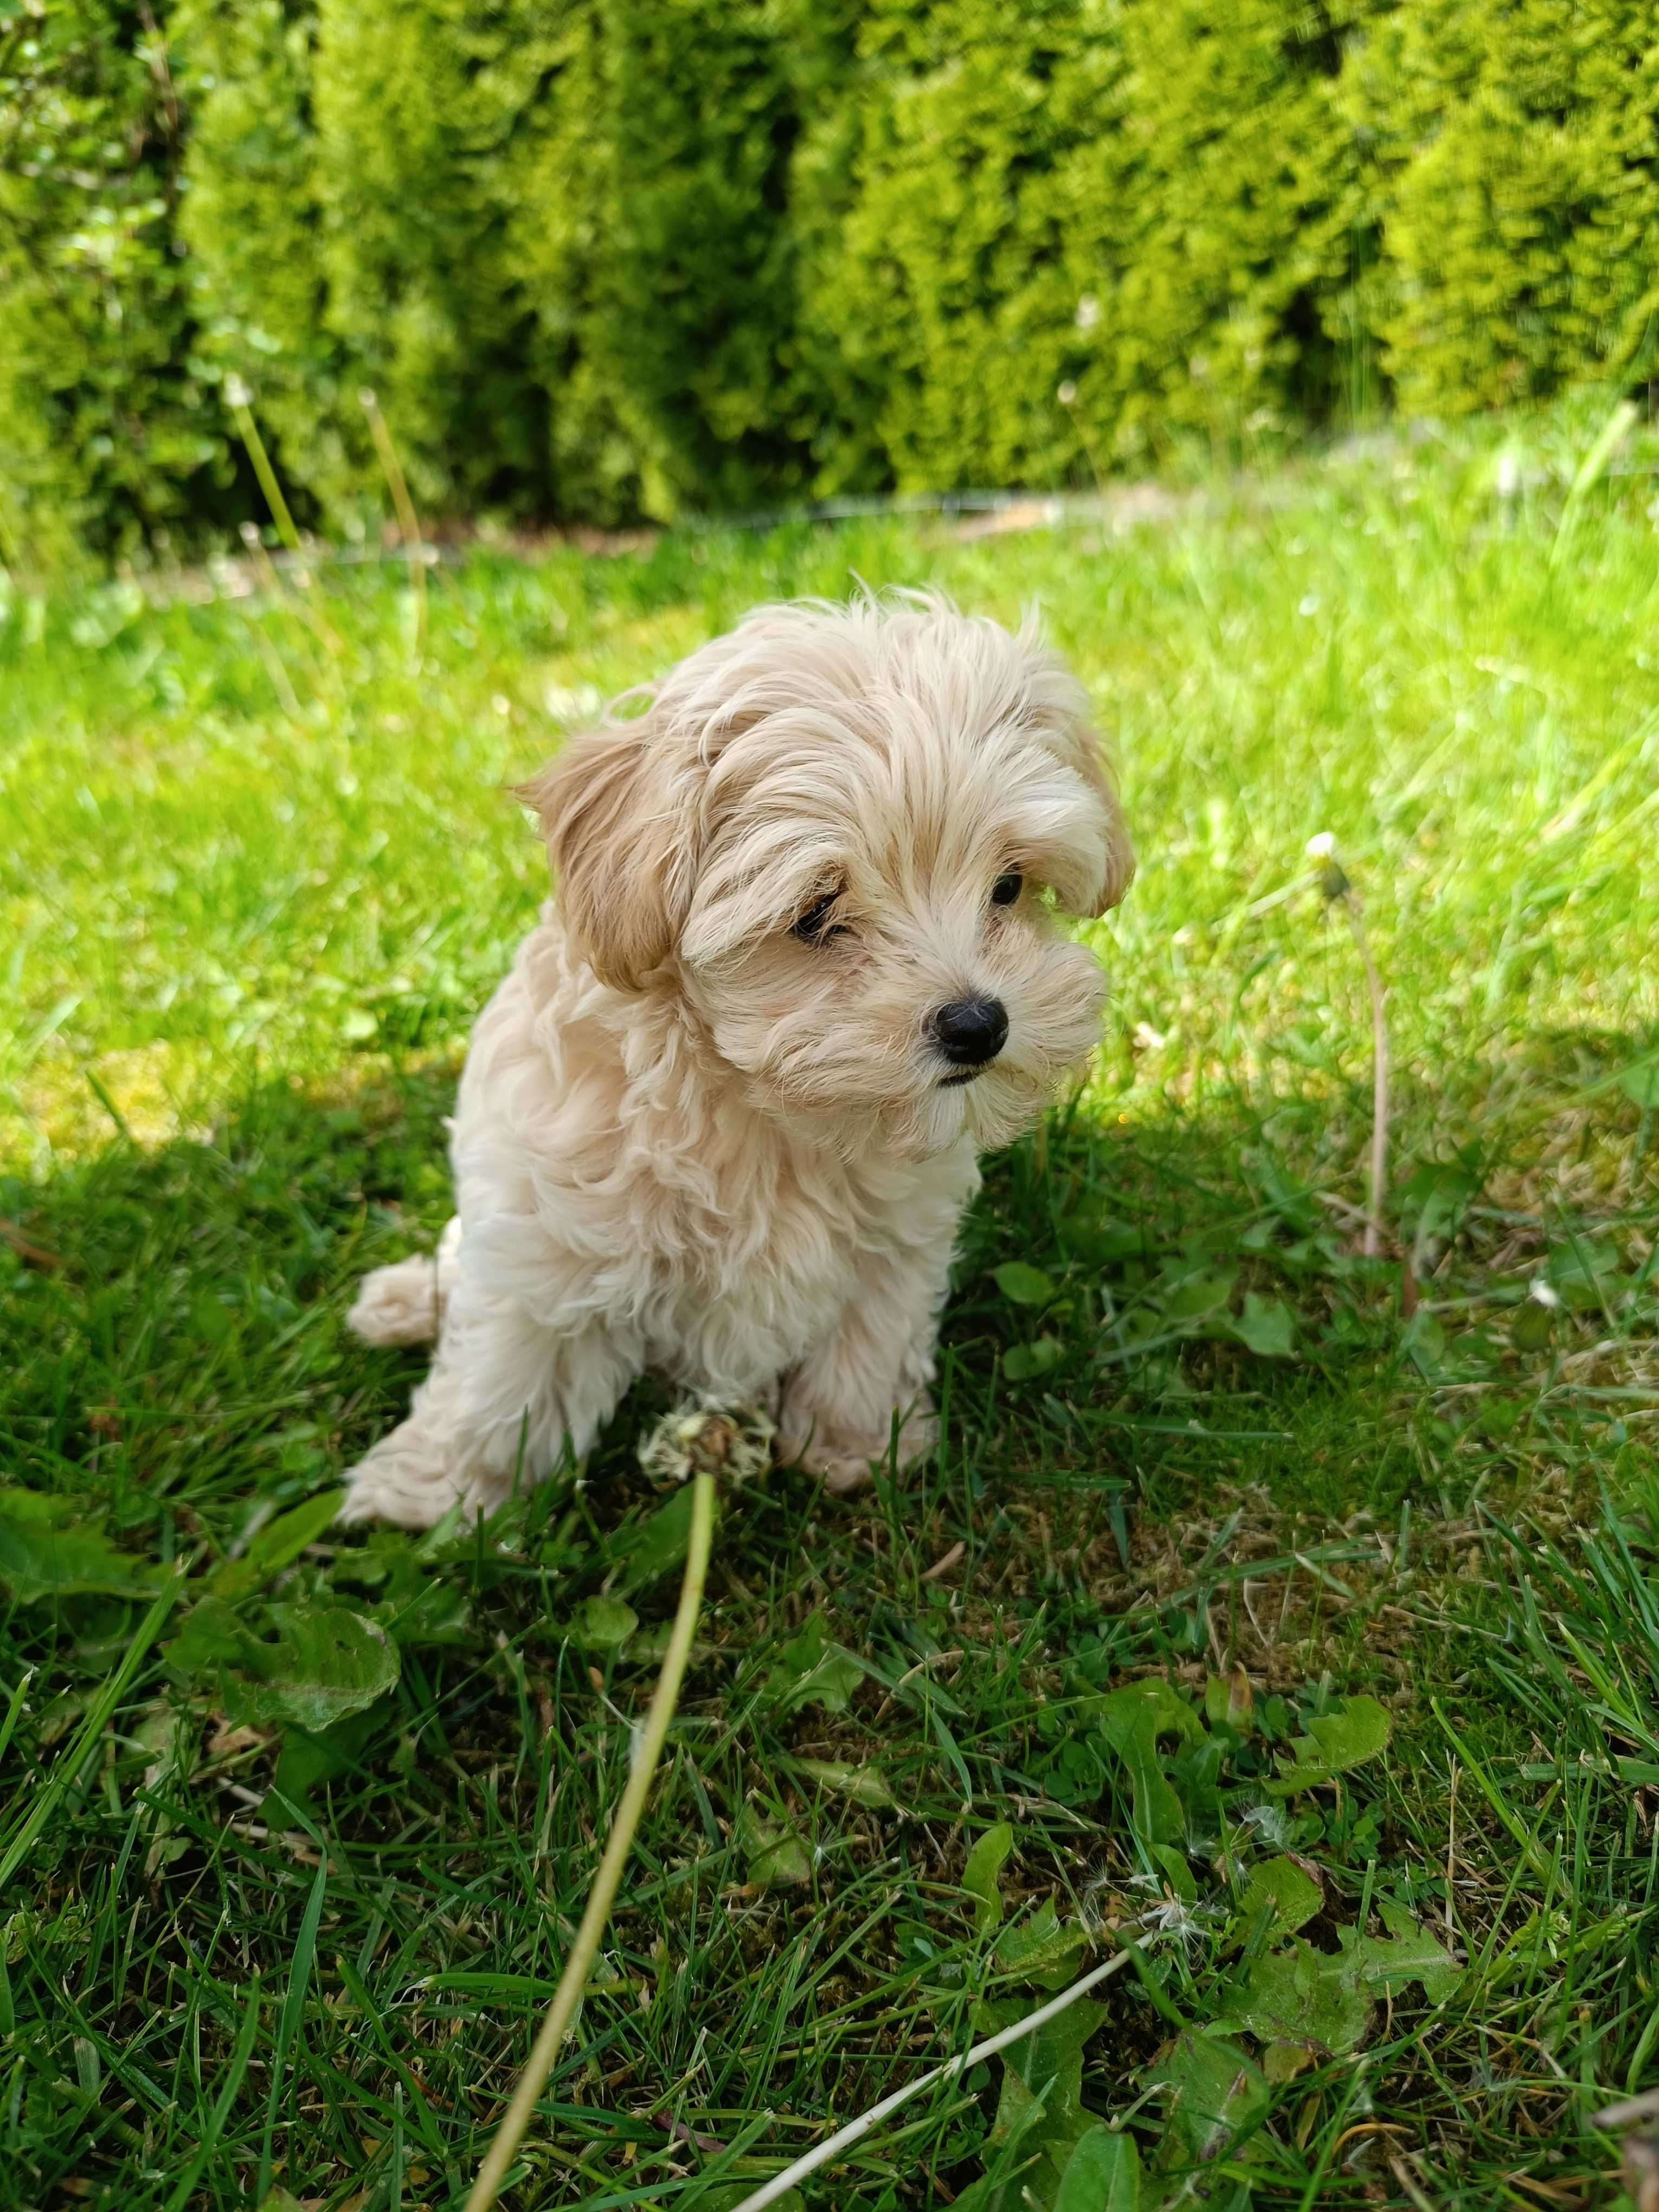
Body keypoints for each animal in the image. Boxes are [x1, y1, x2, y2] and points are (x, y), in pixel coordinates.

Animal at [345, 597, 1141, 1531]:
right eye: (817, 912)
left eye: (1009, 886)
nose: (979, 1025)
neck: (761, 1108)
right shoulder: (554, 1242)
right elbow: (508, 1379)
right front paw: (439, 1496)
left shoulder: (898, 1238)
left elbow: (870, 1340)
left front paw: (853, 1446)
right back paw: (405, 1301)